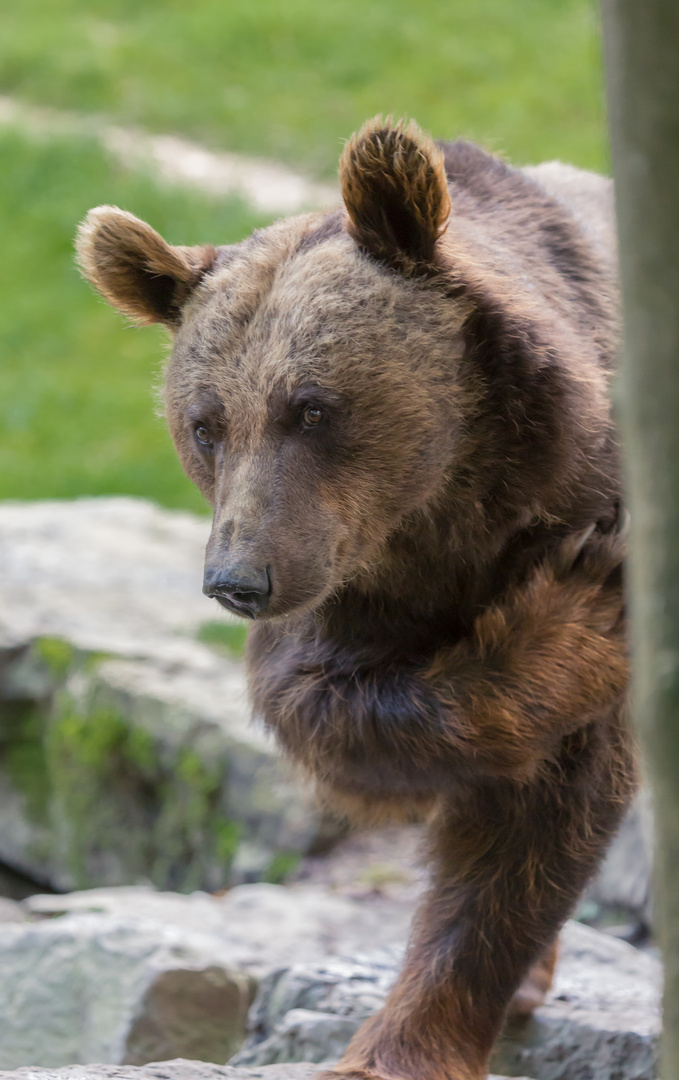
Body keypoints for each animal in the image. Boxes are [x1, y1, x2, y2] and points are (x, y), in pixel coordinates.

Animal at [76, 118, 634, 1080]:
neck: (450, 505)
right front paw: (576, 614)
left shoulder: (574, 487)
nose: (237, 583)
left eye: (310, 407)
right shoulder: (342, 587)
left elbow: (544, 812)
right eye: (204, 423)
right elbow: (335, 714)